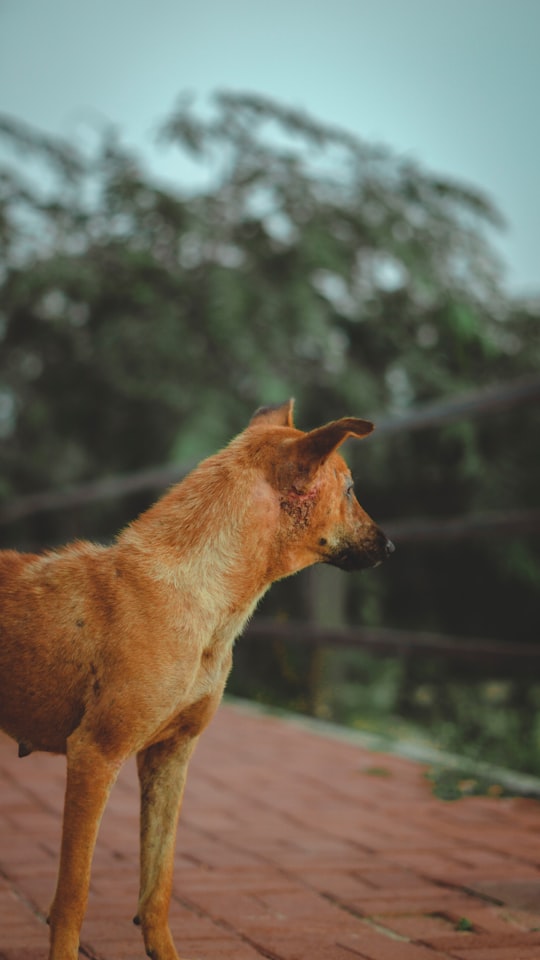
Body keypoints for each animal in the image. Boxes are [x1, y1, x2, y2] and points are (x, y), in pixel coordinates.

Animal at [0, 400, 392, 960]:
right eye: (351, 489)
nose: (391, 545)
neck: (195, 592)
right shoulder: (94, 755)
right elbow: (73, 894)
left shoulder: (171, 757)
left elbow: (157, 886)